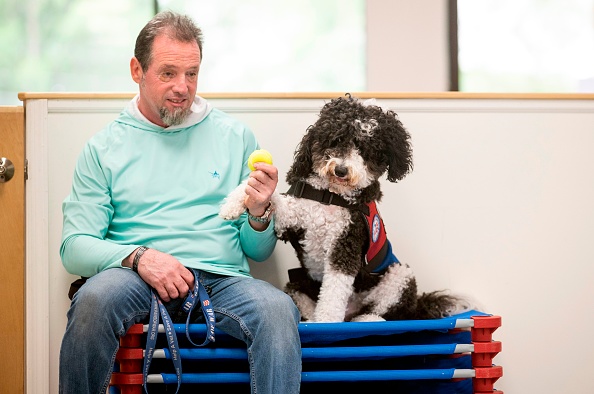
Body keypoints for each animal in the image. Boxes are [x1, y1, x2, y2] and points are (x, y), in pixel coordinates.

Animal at [220, 94, 470, 322]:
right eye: (336, 139)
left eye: (367, 148)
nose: (340, 170)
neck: (330, 196)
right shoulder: (293, 221)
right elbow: (272, 197)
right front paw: (233, 203)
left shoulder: (344, 248)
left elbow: (332, 298)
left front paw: (326, 324)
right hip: (296, 284)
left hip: (400, 276)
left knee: (387, 314)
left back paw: (367, 320)